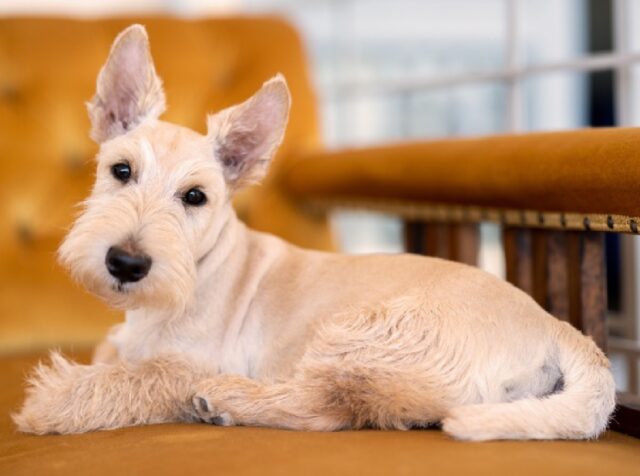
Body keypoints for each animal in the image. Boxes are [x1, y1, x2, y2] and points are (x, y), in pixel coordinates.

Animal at [13, 24, 616, 440]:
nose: (126, 263)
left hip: (365, 332)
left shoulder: (189, 361)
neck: (202, 269)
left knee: (330, 406)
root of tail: (556, 328)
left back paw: (226, 400)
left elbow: (138, 378)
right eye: (121, 170)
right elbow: (118, 360)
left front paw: (53, 400)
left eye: (195, 197)